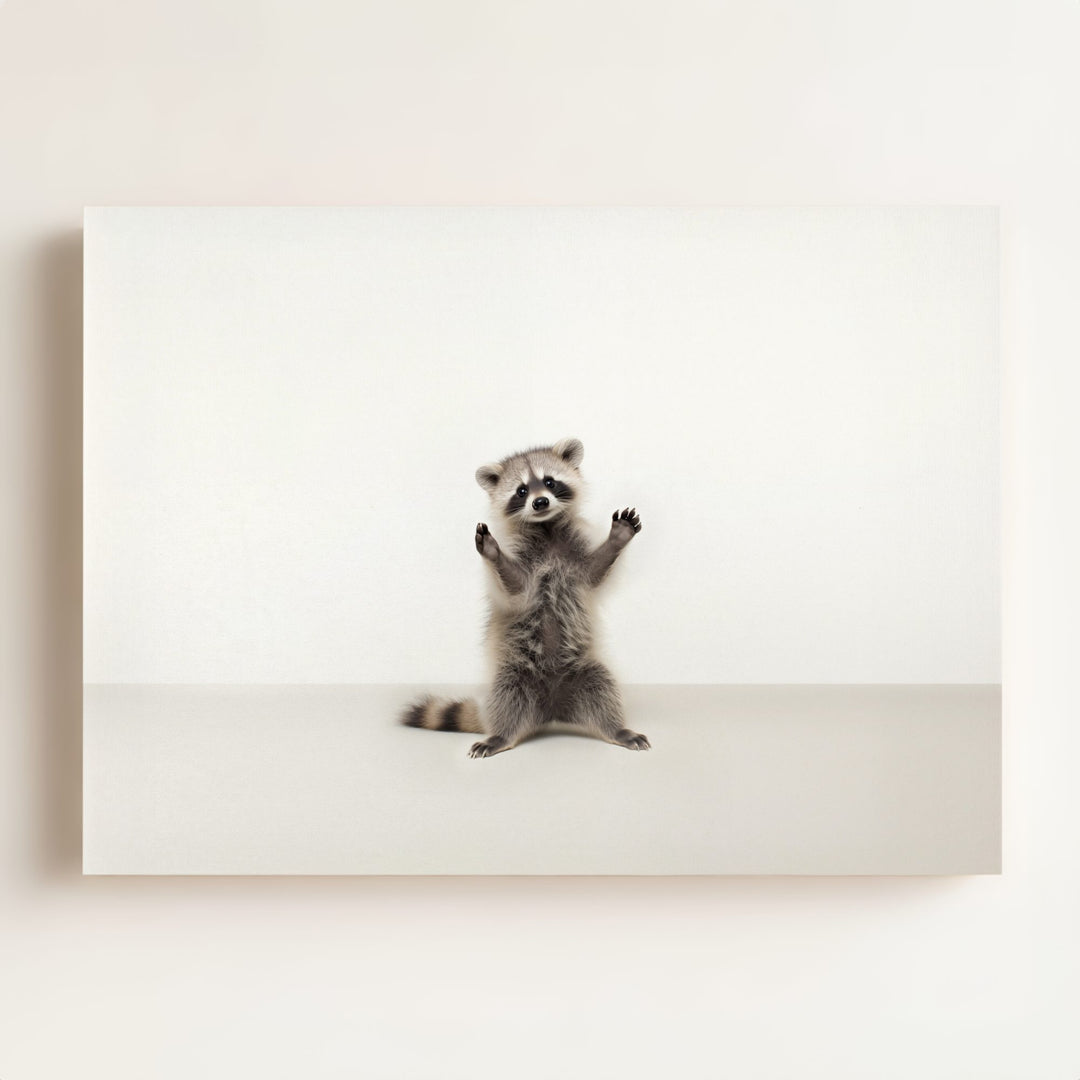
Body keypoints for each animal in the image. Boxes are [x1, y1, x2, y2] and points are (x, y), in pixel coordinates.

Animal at [400, 437, 649, 758]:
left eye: (549, 482)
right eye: (521, 490)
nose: (540, 502)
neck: (547, 528)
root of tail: (552, 710)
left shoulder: (575, 556)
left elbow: (594, 573)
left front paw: (616, 539)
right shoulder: (523, 562)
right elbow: (516, 588)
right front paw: (493, 553)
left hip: (584, 670)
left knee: (603, 687)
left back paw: (617, 729)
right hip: (514, 673)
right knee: (507, 697)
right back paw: (501, 735)